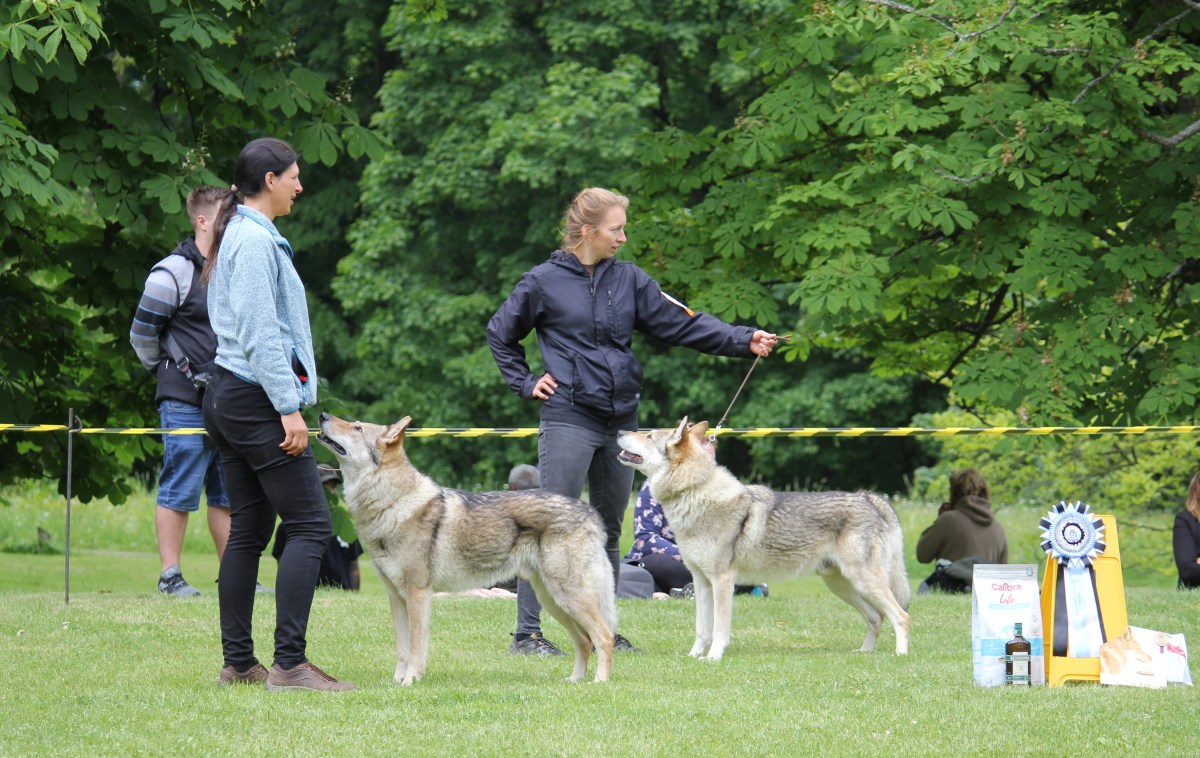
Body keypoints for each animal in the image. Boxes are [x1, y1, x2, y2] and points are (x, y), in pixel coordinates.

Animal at [316, 412, 619, 686]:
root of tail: (591, 513)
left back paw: (599, 682)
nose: (322, 414)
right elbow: (402, 649)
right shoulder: (396, 597)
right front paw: (397, 682)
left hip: (568, 597)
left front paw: (411, 680)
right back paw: (574, 680)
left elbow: (415, 647)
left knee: (604, 637)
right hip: (553, 600)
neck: (393, 502)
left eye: (357, 427)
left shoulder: (418, 594)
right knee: (584, 641)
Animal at [619, 417, 907, 662]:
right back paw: (864, 652)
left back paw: (900, 655)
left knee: (900, 616)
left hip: (862, 581)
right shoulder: (701, 581)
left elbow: (720, 628)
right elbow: (702, 628)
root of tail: (870, 498)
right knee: (877, 618)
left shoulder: (723, 580)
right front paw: (694, 656)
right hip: (842, 585)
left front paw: (713, 657)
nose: (620, 431)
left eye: (649, 436)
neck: (694, 491)